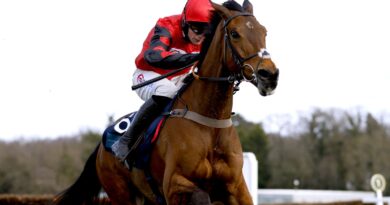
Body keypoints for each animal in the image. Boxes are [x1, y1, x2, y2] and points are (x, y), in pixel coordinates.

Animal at [52, 0, 278, 204]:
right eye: (235, 33)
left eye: (264, 32)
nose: (269, 75)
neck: (209, 122)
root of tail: (101, 146)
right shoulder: (174, 185)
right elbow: (200, 194)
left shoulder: (237, 188)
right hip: (120, 192)